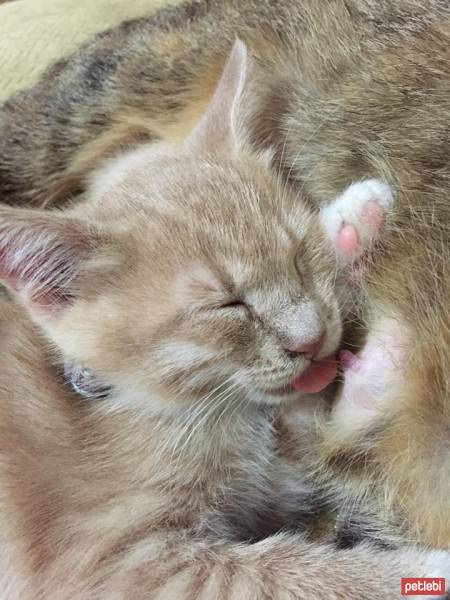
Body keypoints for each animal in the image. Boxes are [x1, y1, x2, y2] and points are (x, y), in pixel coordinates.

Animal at [0, 42, 450, 600]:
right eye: (228, 305)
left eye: (299, 256)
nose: (310, 339)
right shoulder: (109, 560)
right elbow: (283, 571)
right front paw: (421, 572)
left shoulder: (275, 479)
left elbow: (314, 435)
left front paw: (349, 229)